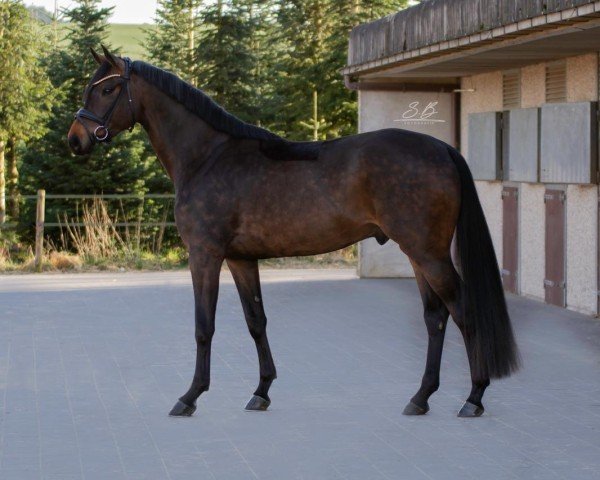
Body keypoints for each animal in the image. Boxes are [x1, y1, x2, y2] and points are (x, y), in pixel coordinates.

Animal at [67, 47, 520, 418]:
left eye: (108, 89)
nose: (75, 140)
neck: (208, 156)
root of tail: (442, 149)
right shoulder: (241, 259)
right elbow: (256, 321)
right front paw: (261, 391)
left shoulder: (205, 255)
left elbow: (203, 325)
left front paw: (190, 396)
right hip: (417, 253)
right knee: (435, 317)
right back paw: (421, 397)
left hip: (429, 253)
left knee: (462, 312)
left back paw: (473, 397)